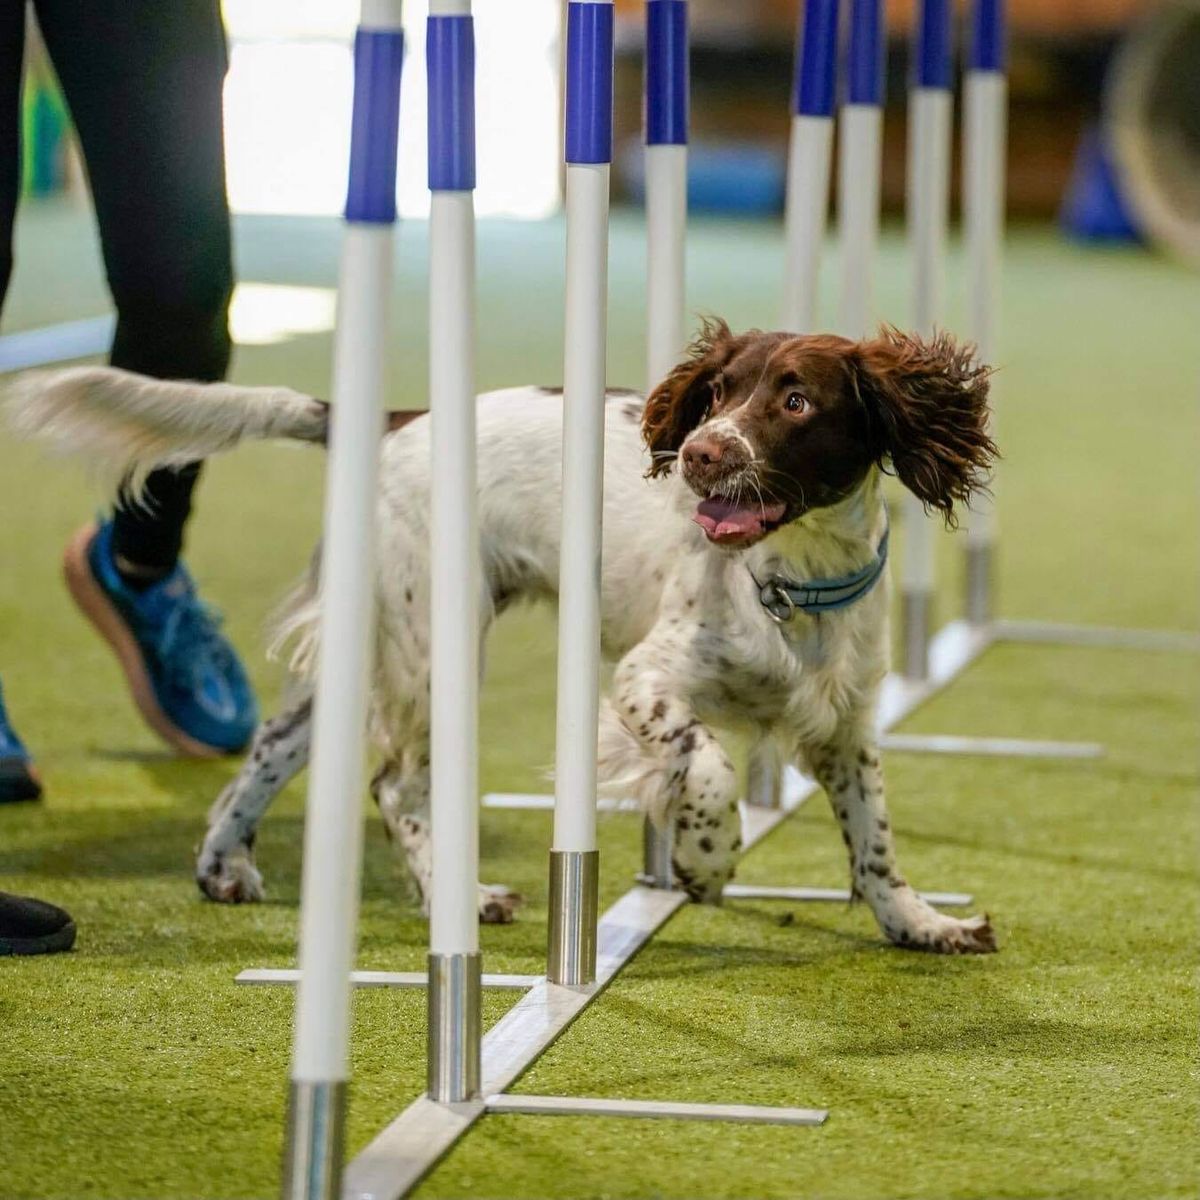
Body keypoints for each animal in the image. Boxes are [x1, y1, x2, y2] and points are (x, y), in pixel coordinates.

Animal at [9, 321, 998, 955]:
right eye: (716, 393)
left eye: (795, 400)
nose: (699, 453)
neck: (795, 582)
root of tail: (399, 422)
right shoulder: (646, 683)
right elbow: (708, 761)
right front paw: (706, 859)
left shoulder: (846, 727)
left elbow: (874, 840)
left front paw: (919, 924)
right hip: (434, 641)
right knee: (396, 783)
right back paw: (458, 896)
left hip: (375, 636)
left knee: (277, 744)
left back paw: (223, 865)